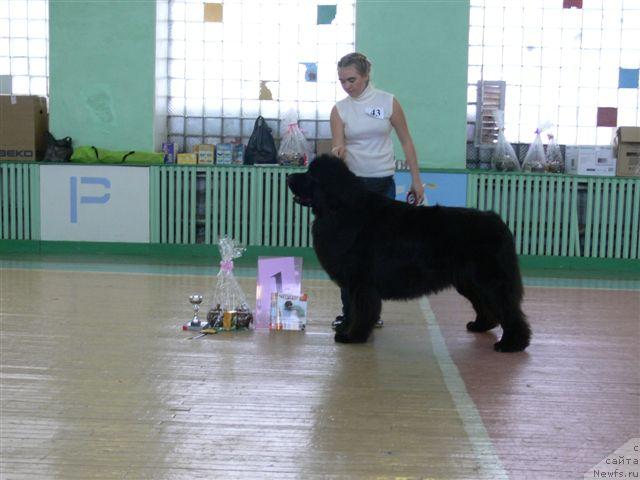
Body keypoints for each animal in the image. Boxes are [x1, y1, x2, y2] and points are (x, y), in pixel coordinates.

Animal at [288, 155, 532, 352]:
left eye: (310, 175)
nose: (289, 176)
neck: (341, 210)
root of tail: (497, 220)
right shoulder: (353, 282)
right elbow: (352, 310)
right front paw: (346, 330)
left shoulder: (361, 282)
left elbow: (360, 310)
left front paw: (353, 336)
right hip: (469, 282)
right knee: (487, 306)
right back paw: (480, 326)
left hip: (489, 280)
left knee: (508, 309)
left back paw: (512, 344)